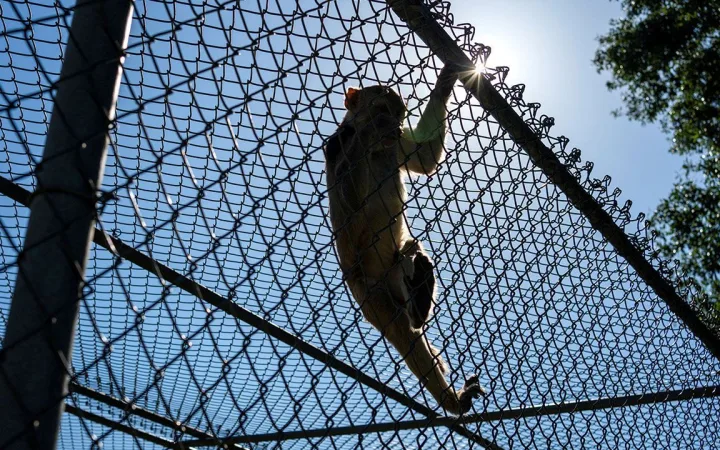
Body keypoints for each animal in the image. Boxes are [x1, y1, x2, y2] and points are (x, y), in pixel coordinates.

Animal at [324, 65, 485, 415]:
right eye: (382, 109)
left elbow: (425, 159)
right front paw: (370, 130)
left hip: (395, 276)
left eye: (400, 115)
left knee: (409, 253)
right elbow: (350, 217)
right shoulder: (338, 145)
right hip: (369, 292)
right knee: (402, 330)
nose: (394, 126)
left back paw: (420, 291)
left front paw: (445, 81)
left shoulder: (394, 146)